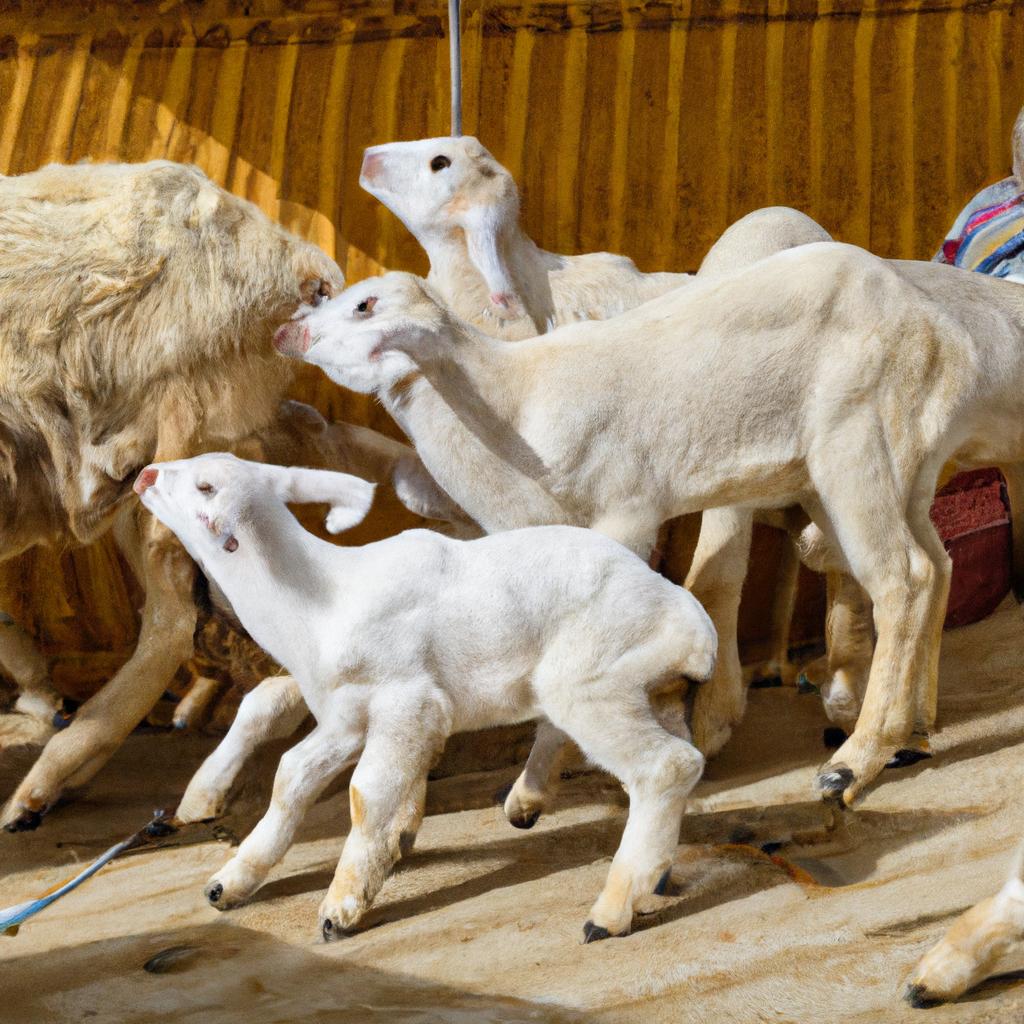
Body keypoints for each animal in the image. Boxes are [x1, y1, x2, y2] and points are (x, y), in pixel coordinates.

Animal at [134, 456, 712, 942]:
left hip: (591, 678)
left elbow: (366, 794)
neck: (320, 599)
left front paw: (342, 905)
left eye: (206, 486)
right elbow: (291, 776)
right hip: (642, 687)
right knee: (660, 753)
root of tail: (690, 623)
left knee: (669, 765)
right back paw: (635, 867)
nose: (145, 475)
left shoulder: (407, 703)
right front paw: (229, 882)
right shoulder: (345, 718)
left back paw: (611, 911)